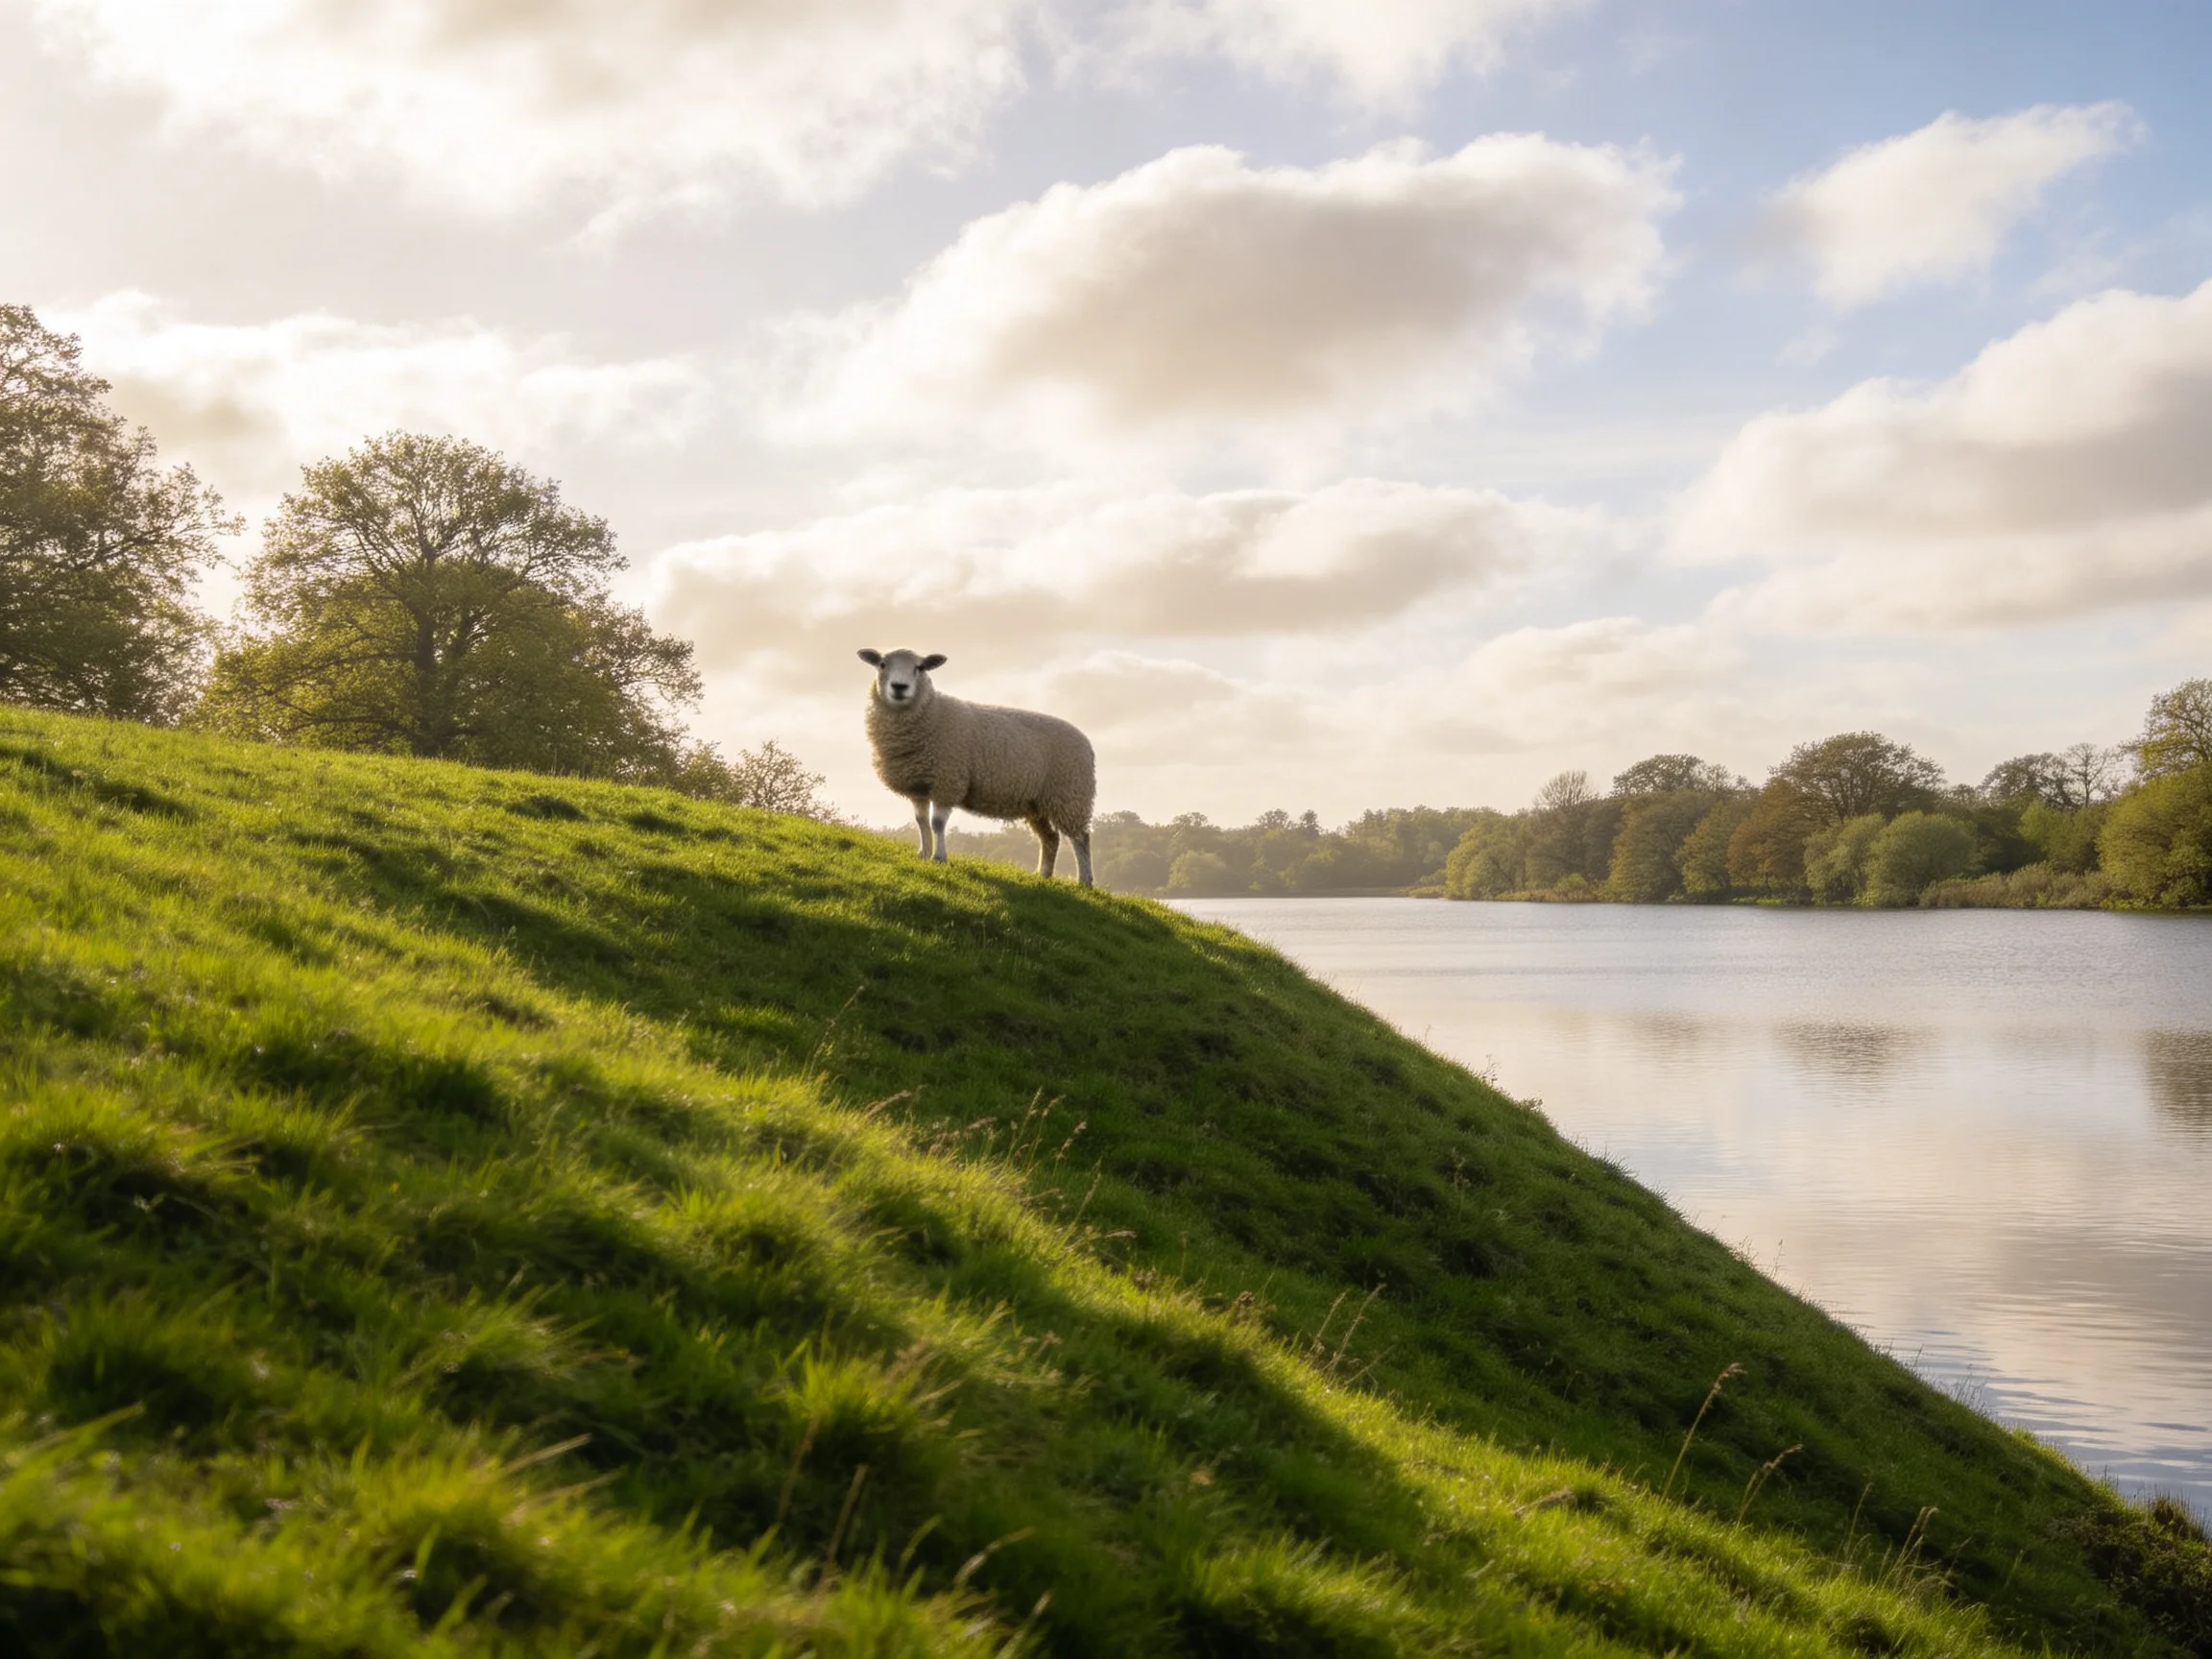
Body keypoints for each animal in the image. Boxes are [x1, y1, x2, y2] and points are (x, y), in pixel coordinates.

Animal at [857, 648, 1096, 886]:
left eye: (920, 667)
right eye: (882, 664)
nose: (899, 687)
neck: (932, 714)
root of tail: (1086, 742)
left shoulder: (947, 782)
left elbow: (937, 823)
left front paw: (939, 857)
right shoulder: (918, 786)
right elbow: (921, 821)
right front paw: (923, 854)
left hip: (1070, 796)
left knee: (1080, 838)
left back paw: (1084, 880)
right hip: (1037, 804)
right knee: (1050, 837)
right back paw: (1042, 875)